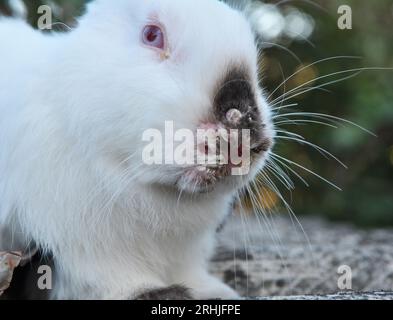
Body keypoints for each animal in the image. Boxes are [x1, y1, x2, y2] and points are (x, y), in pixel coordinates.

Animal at [0, 0, 274, 300]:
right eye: (152, 35)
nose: (243, 130)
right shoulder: (86, 245)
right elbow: (102, 280)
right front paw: (165, 294)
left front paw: (214, 293)